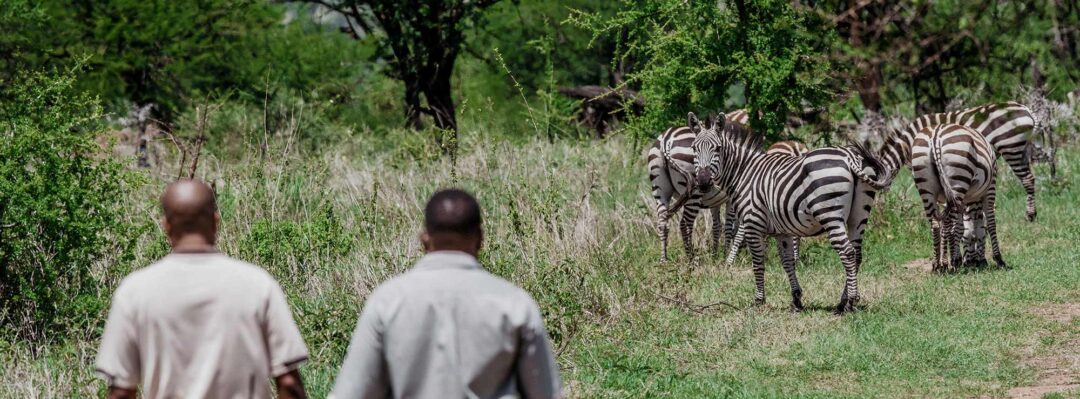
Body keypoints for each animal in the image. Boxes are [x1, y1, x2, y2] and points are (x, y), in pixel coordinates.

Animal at [643, 110, 807, 262]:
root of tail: (667, 138)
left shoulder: (716, 202)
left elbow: (718, 227)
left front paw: (716, 255)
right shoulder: (735, 200)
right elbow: (733, 228)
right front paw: (728, 255)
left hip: (660, 188)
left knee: (662, 221)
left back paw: (664, 260)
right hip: (693, 193)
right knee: (685, 224)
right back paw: (691, 259)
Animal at [691, 110, 894, 311]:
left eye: (717, 149)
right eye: (694, 148)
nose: (703, 182)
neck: (744, 173)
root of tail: (848, 156)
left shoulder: (752, 223)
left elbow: (758, 263)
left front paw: (759, 301)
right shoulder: (782, 231)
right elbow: (787, 262)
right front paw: (796, 299)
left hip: (830, 214)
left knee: (848, 253)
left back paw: (849, 302)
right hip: (858, 215)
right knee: (857, 254)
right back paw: (843, 301)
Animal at [881, 101, 1041, 220]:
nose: (882, 208)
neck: (908, 141)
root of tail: (1026, 109)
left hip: (1011, 149)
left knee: (1027, 178)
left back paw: (1030, 215)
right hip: (1024, 149)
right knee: (1030, 177)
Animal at [911, 122, 1002, 269]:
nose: (972, 261)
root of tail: (935, 136)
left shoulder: (962, 201)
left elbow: (963, 227)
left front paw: (966, 259)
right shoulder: (990, 188)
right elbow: (989, 223)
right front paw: (997, 259)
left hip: (926, 186)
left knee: (935, 225)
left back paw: (937, 265)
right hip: (958, 179)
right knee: (949, 226)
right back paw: (950, 263)